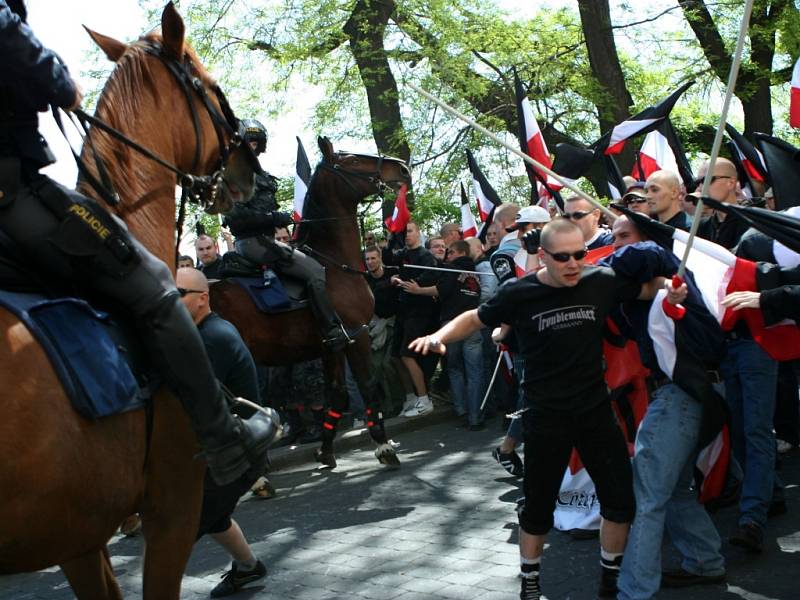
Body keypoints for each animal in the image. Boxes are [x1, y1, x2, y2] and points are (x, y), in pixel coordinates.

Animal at [209, 137, 410, 468]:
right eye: (353, 161)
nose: (402, 168)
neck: (334, 263)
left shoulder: (332, 345)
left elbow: (337, 394)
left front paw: (326, 451)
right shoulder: (357, 335)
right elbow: (368, 387)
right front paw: (383, 446)